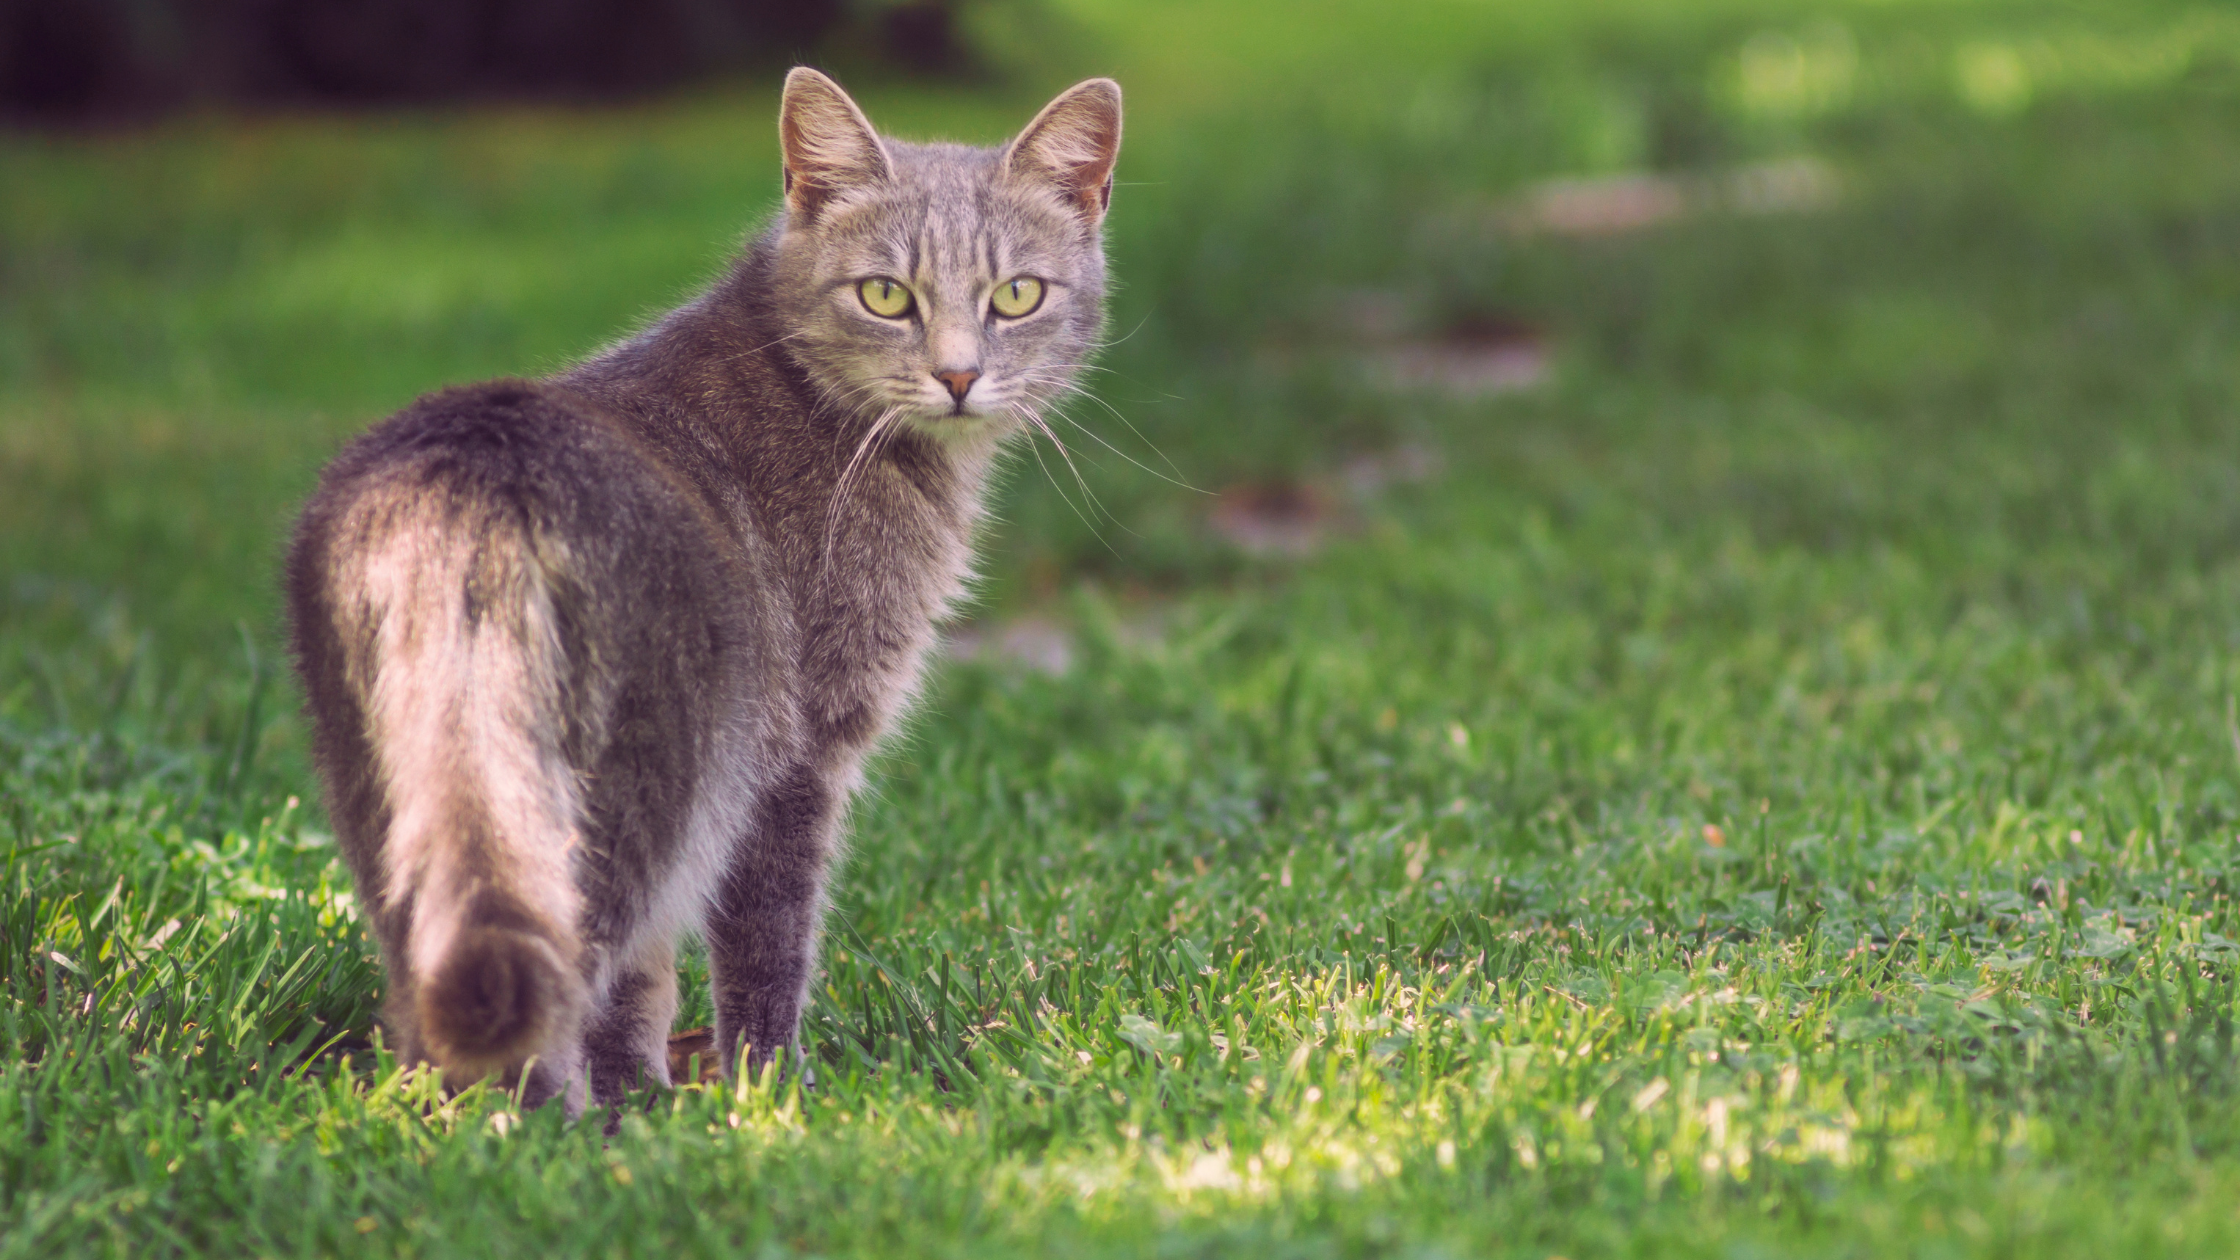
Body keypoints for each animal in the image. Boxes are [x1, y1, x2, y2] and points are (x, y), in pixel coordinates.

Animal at [284, 68, 1120, 1107]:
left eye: (1017, 295)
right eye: (886, 294)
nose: (959, 375)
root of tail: (470, 480)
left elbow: (638, 992)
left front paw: (647, 1100)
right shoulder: (795, 759)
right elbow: (765, 950)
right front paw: (772, 1092)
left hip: (392, 784)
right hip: (643, 786)